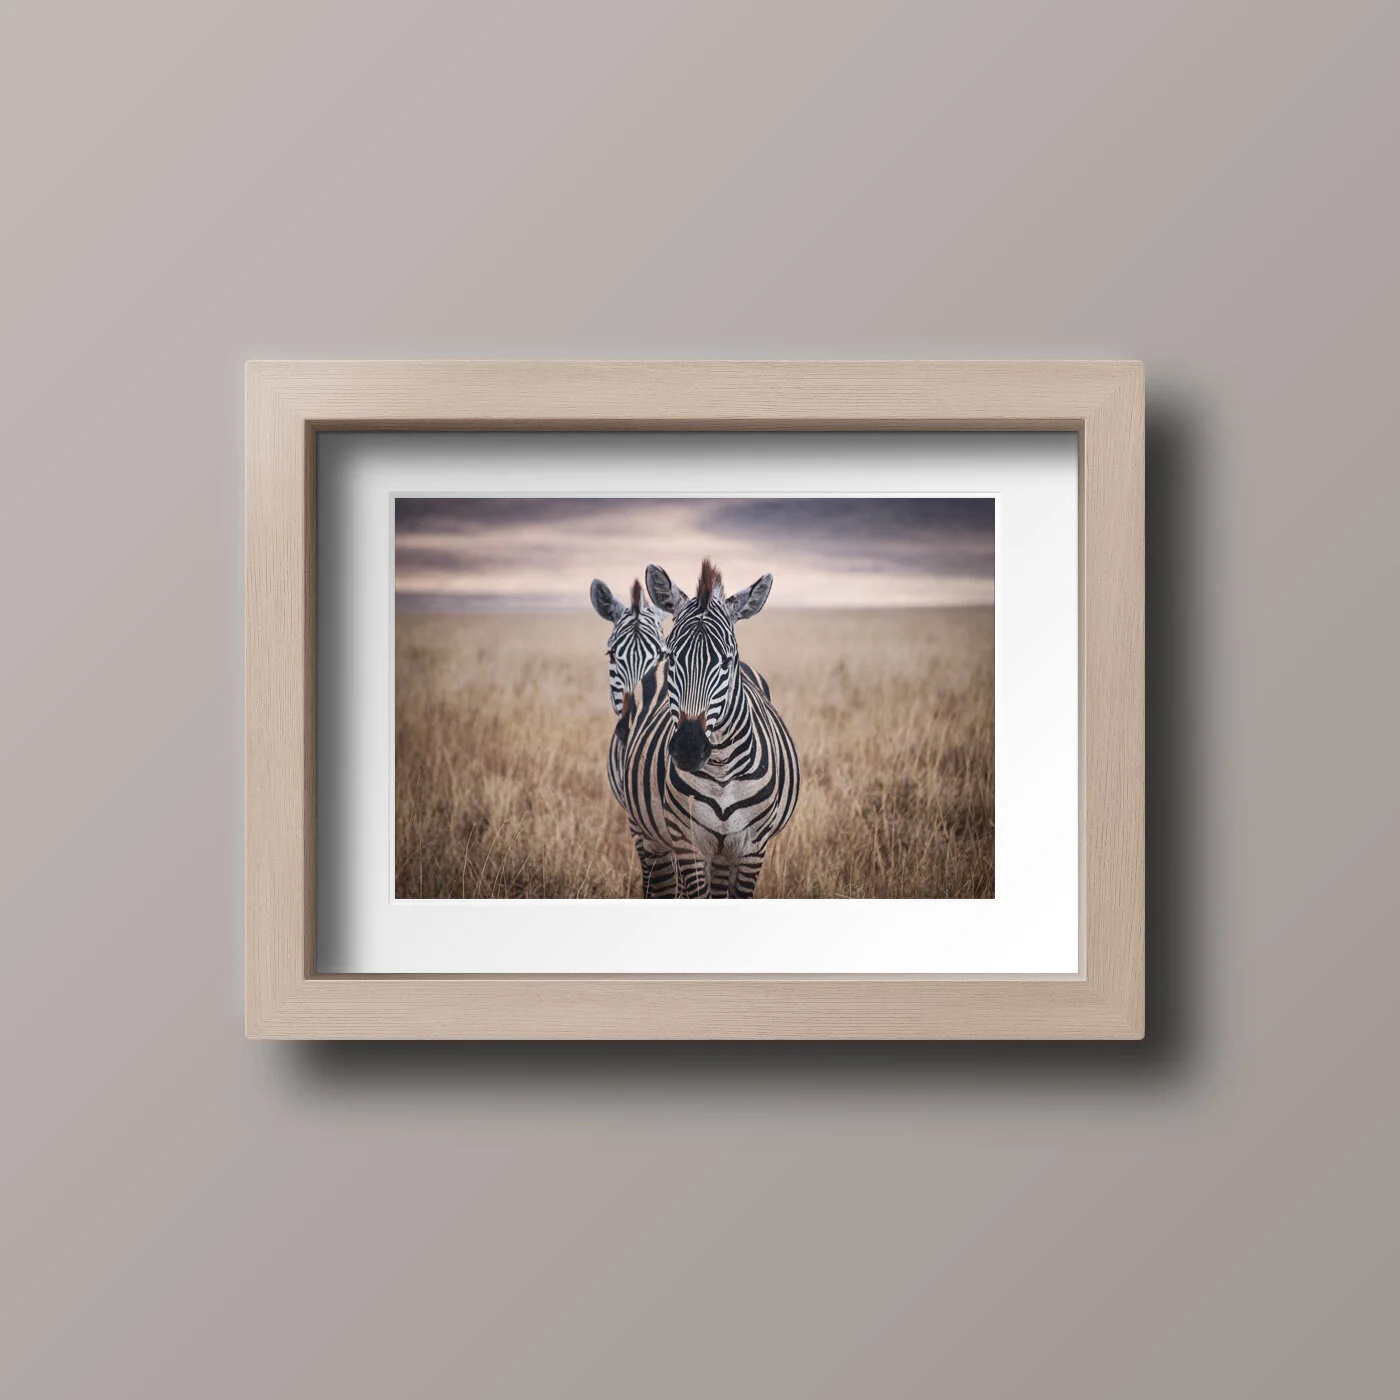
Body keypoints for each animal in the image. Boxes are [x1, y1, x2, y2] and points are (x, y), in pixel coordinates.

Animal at [622, 558, 800, 898]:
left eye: (725, 662)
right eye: (673, 657)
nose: (688, 748)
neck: (722, 770)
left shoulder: (752, 848)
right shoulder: (687, 842)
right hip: (644, 832)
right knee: (656, 884)